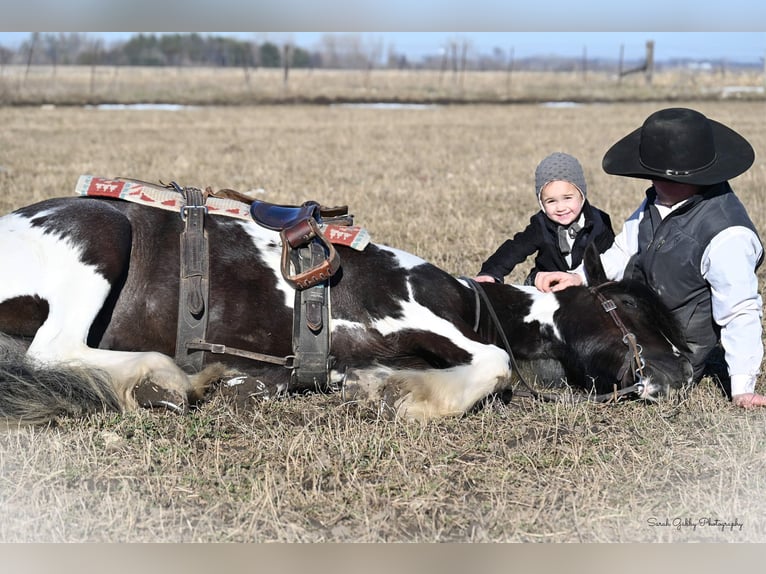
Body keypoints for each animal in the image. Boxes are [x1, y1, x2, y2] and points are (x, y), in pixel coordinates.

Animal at [0, 182, 696, 426]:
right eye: (629, 312)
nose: (685, 372)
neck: (468, 301)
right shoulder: (407, 317)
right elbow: (495, 362)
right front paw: (404, 396)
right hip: (98, 241)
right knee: (51, 352)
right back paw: (161, 379)